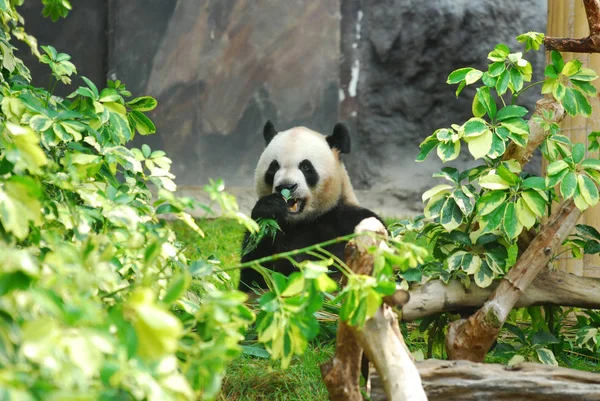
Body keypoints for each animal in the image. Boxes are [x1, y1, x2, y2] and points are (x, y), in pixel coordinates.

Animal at [237, 120, 382, 290]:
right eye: (273, 167)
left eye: (306, 167)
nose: (286, 186)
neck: (301, 221)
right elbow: (255, 276)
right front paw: (269, 209)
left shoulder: (346, 220)